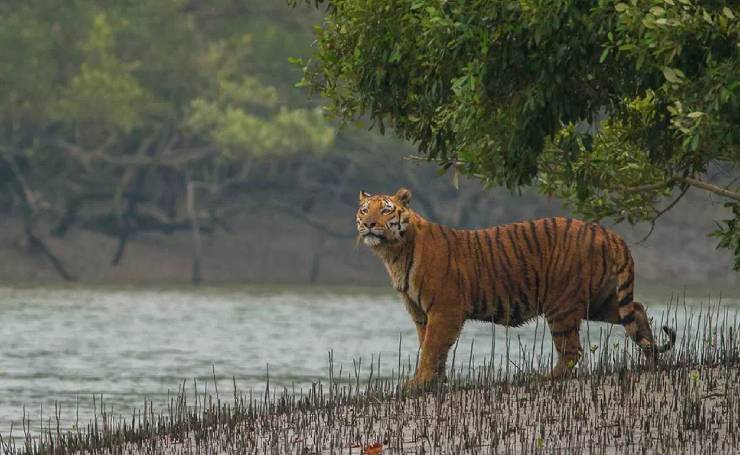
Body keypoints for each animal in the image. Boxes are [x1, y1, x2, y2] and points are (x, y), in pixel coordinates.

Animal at [356, 187, 676, 386]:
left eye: (386, 211)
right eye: (364, 210)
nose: (369, 224)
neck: (394, 253)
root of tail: (608, 232)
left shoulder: (445, 310)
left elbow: (432, 348)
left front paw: (419, 383)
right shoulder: (421, 314)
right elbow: (430, 347)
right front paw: (434, 381)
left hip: (562, 304)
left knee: (572, 350)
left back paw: (545, 378)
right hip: (600, 300)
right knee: (637, 310)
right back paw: (652, 362)